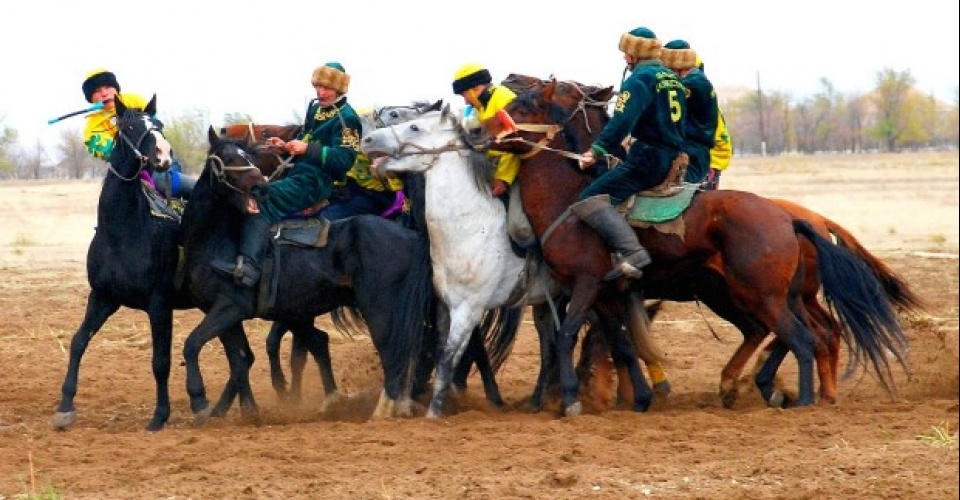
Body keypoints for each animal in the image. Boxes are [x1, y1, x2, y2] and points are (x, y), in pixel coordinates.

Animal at [52, 95, 191, 432]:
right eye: (128, 126)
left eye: (159, 124)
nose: (163, 155)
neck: (123, 232)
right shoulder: (103, 297)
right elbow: (78, 342)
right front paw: (65, 407)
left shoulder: (159, 304)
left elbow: (160, 361)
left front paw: (160, 415)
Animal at [176, 127, 438, 420]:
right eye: (228, 157)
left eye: (248, 156)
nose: (261, 188)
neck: (217, 241)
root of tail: (411, 235)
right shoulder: (224, 312)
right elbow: (240, 359)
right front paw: (242, 411)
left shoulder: (231, 307)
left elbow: (193, 344)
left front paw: (200, 402)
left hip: (380, 307)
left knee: (394, 351)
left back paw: (383, 410)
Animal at [364, 108, 656, 418]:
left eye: (413, 127)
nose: (367, 139)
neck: (469, 226)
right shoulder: (445, 307)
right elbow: (445, 352)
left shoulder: (469, 310)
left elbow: (447, 360)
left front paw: (434, 413)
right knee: (569, 343)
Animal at [484, 77, 912, 414]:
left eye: (525, 102)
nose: (478, 131)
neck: (571, 197)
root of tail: (790, 219)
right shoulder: (606, 295)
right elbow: (621, 345)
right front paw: (638, 398)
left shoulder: (586, 285)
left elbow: (567, 335)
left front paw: (572, 399)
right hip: (772, 296)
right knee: (805, 334)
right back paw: (789, 391)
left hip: (761, 296)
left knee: (800, 338)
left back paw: (798, 399)